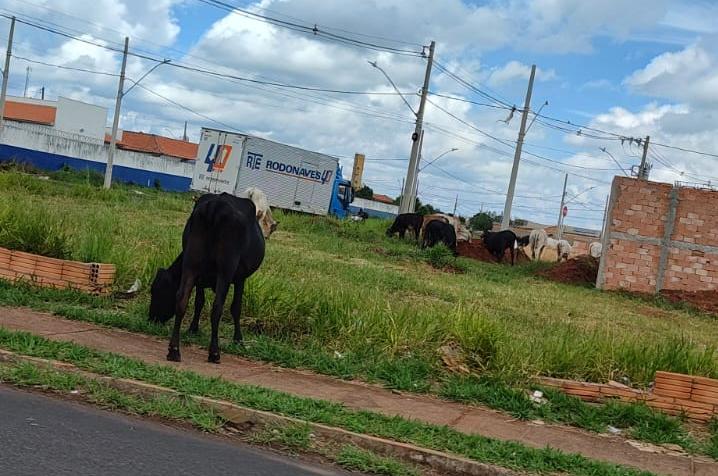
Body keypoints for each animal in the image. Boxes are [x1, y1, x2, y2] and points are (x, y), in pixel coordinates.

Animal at [149, 192, 270, 362]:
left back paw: (174, 350)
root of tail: (216, 205)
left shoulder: (199, 278)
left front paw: (193, 328)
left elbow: (199, 302)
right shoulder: (240, 278)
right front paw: (238, 339)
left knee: (182, 299)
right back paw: (214, 352)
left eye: (156, 291)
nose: (151, 318)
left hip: (191, 263)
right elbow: (236, 307)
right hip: (225, 270)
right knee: (217, 307)